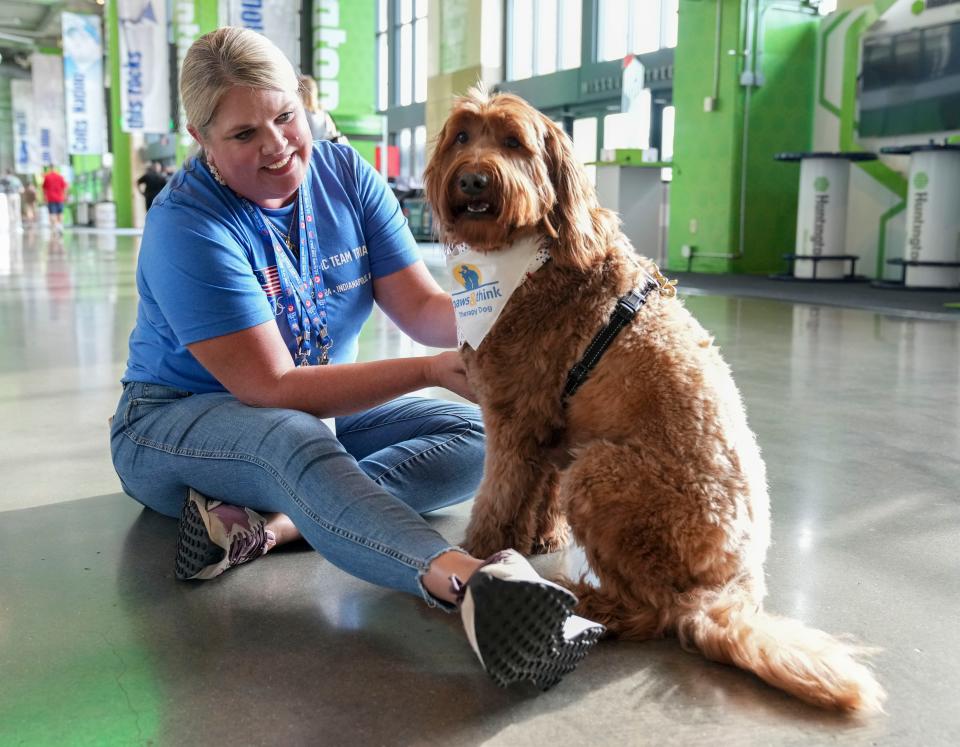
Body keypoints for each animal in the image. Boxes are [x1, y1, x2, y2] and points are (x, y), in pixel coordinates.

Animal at [426, 90, 884, 716]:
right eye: (461, 137)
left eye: (514, 143)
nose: (472, 180)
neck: (533, 257)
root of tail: (731, 587)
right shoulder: (548, 425)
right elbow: (535, 488)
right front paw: (541, 538)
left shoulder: (513, 417)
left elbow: (497, 497)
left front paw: (479, 552)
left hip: (600, 472)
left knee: (653, 613)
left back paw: (586, 600)